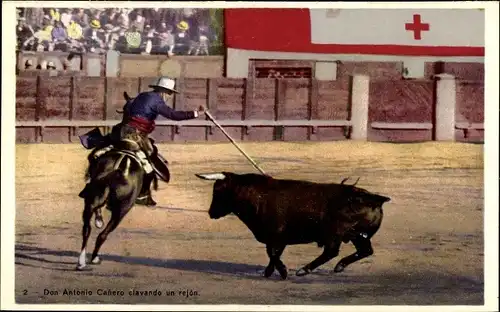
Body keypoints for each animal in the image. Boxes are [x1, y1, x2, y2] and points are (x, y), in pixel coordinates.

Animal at [195, 172, 390, 280]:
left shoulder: (276, 235)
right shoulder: (275, 238)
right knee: (365, 251)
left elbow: (273, 253)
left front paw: (282, 271)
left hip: (335, 234)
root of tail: (373, 198)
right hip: (359, 235)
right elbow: (272, 254)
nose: (211, 213)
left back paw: (304, 270)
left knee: (331, 252)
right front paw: (269, 271)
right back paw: (339, 266)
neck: (257, 195)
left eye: (218, 191)